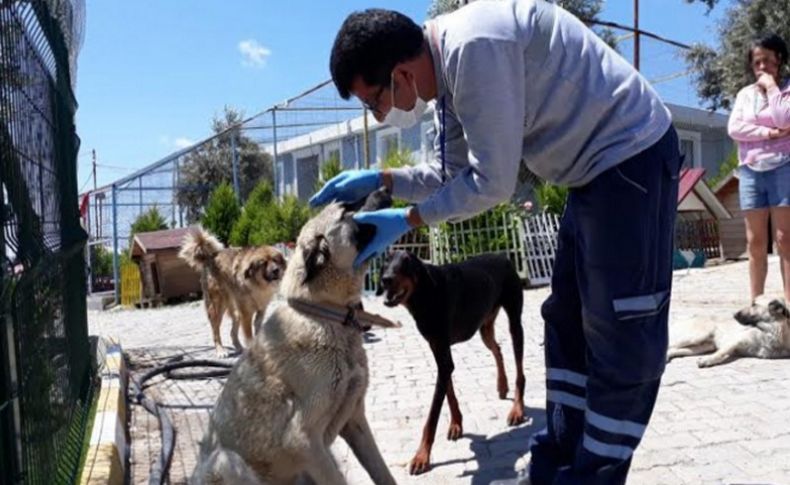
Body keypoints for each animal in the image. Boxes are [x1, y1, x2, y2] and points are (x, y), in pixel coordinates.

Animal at [180, 227, 288, 356]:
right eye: (263, 263)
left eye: (276, 260)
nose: (276, 270)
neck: (257, 285)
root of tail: (209, 257)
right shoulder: (246, 314)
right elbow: (249, 337)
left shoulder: (261, 310)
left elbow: (257, 330)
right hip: (217, 308)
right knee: (215, 332)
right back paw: (220, 350)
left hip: (236, 312)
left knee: (232, 332)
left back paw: (239, 347)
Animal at [191, 199, 400, 482]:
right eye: (346, 211)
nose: (386, 193)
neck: (322, 314)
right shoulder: (302, 440)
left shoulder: (355, 420)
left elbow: (383, 473)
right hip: (226, 461)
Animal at [378, 250, 524, 472]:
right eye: (386, 261)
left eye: (406, 264)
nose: (386, 279)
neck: (426, 294)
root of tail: (502, 256)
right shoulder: (438, 349)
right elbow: (449, 392)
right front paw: (456, 424)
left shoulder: (443, 355)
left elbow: (432, 415)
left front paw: (421, 457)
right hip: (484, 326)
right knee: (497, 349)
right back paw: (502, 386)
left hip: (515, 322)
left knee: (519, 371)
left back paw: (517, 409)